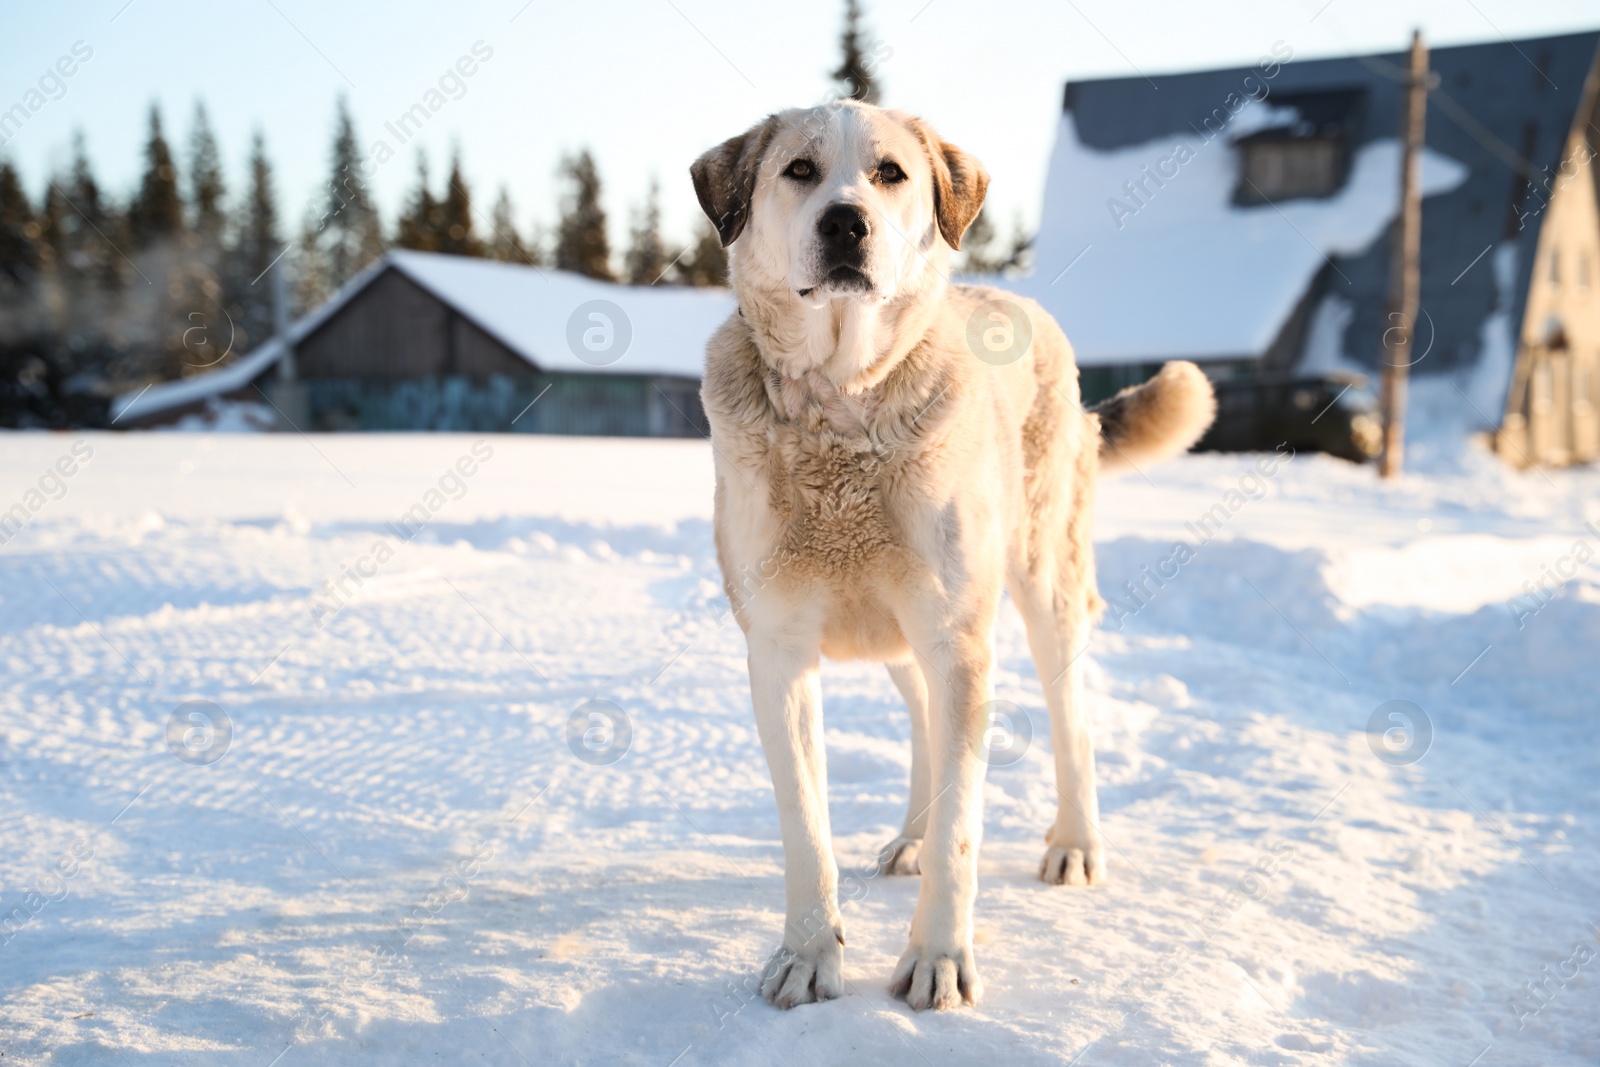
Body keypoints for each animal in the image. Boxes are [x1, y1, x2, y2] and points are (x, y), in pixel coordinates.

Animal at [688, 103, 1209, 1017]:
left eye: (890, 173)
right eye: (798, 170)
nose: (845, 223)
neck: (841, 403)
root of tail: (1013, 297)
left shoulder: (959, 640)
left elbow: (964, 827)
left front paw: (937, 959)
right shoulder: (779, 649)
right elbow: (805, 826)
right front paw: (808, 956)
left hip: (1039, 588)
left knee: (1070, 719)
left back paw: (1076, 843)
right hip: (903, 630)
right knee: (926, 720)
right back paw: (911, 836)